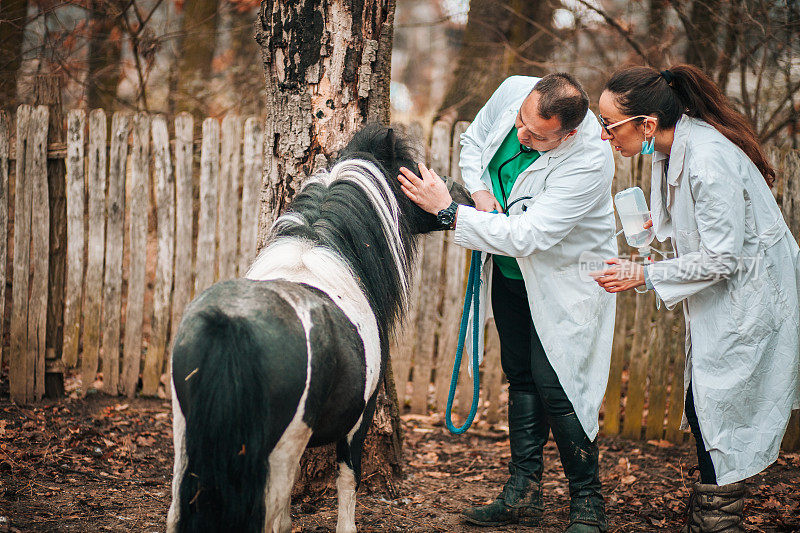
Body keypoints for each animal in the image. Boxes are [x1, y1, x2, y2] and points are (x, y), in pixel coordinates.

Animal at [166, 125, 472, 532]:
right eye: (412, 170)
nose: (463, 196)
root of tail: (232, 322)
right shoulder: (360, 418)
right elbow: (348, 480)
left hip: (186, 438)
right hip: (279, 450)